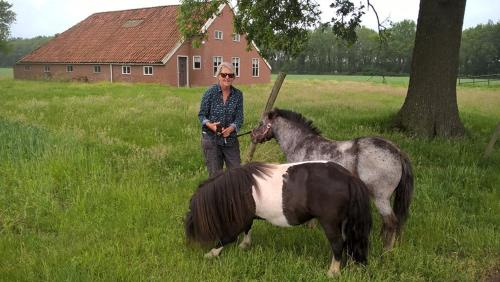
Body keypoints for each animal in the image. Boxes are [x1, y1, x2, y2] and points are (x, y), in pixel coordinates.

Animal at [186, 162, 374, 276]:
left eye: (190, 225)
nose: (190, 246)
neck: (236, 189)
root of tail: (348, 177)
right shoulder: (247, 217)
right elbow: (248, 228)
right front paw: (245, 245)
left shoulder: (237, 221)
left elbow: (227, 237)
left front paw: (211, 253)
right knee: (349, 242)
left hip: (330, 223)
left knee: (337, 244)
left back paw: (333, 272)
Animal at [250, 108, 414, 249]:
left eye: (261, 123)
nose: (252, 136)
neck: (300, 144)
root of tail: (397, 151)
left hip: (380, 197)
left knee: (391, 223)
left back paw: (386, 250)